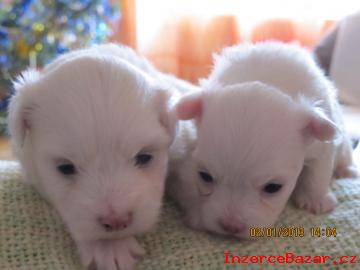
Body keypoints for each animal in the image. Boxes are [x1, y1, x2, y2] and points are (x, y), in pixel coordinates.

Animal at [168, 41, 358, 238]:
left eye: (273, 187)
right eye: (205, 176)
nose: (231, 226)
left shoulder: (321, 145)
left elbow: (318, 172)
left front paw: (316, 201)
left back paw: (347, 170)